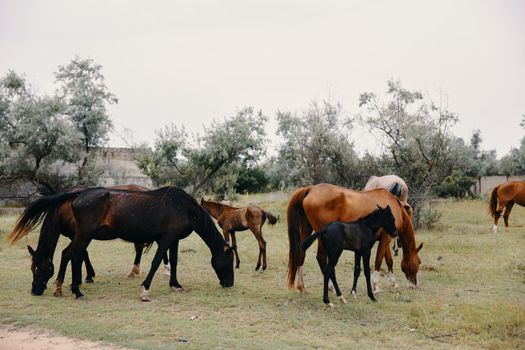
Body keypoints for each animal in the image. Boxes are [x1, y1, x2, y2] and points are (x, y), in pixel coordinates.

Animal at [7, 186, 233, 300]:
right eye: (230, 261)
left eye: (37, 268)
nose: (229, 283)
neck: (184, 207)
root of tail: (78, 194)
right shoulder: (167, 238)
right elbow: (156, 262)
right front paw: (144, 290)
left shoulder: (173, 239)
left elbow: (175, 262)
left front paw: (175, 284)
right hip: (84, 235)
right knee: (73, 254)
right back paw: (75, 290)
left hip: (82, 235)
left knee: (70, 254)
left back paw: (64, 288)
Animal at [286, 183, 422, 296]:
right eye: (419, 262)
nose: (414, 285)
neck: (394, 206)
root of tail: (310, 189)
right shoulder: (386, 238)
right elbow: (378, 260)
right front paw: (376, 286)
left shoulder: (384, 238)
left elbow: (388, 260)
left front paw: (393, 282)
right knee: (321, 258)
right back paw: (332, 288)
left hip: (306, 230)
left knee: (301, 255)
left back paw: (302, 287)